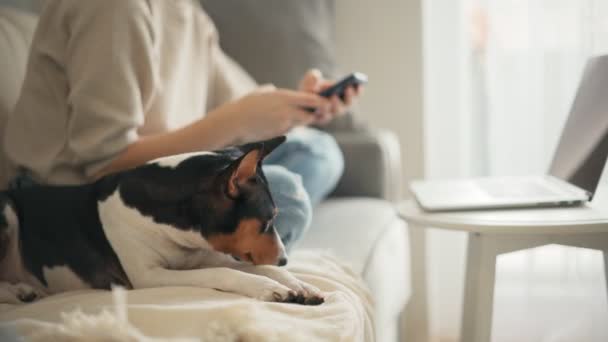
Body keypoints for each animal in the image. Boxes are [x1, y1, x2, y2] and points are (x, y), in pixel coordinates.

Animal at [0, 138, 326, 306]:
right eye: (269, 220)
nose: (285, 258)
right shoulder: (148, 276)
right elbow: (224, 273)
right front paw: (267, 287)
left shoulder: (202, 256)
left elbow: (258, 268)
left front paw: (298, 283)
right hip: (8, 212)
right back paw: (19, 291)